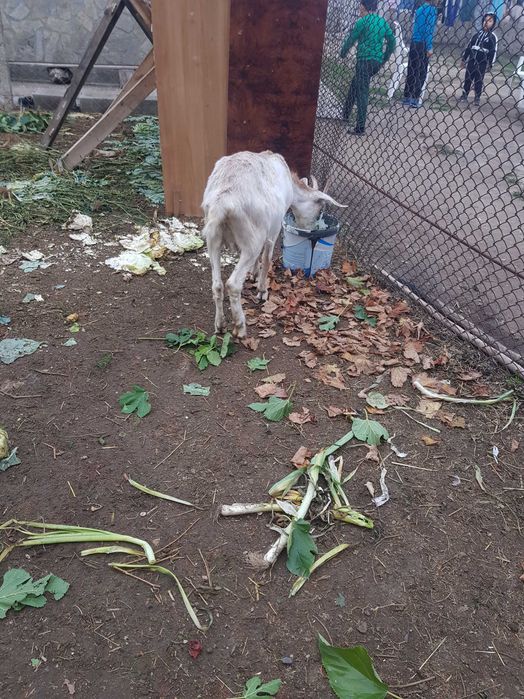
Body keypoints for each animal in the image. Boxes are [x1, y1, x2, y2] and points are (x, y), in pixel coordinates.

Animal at [202, 150, 346, 338]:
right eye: (319, 209)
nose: (311, 229)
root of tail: (222, 203)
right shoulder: (274, 228)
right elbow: (267, 257)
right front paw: (262, 291)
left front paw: (254, 274)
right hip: (251, 241)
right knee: (233, 284)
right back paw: (240, 327)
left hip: (213, 239)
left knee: (217, 285)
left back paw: (220, 325)